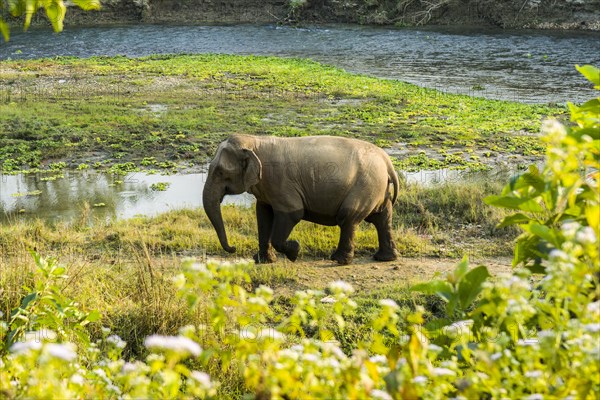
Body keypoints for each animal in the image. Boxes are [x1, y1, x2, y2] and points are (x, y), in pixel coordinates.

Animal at [204, 134, 400, 266]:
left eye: (220, 172)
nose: (234, 248)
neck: (255, 142)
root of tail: (386, 161)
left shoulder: (281, 184)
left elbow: (293, 213)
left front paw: (294, 251)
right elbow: (263, 214)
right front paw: (263, 261)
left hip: (365, 185)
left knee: (348, 217)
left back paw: (338, 260)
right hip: (375, 187)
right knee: (381, 217)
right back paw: (385, 258)